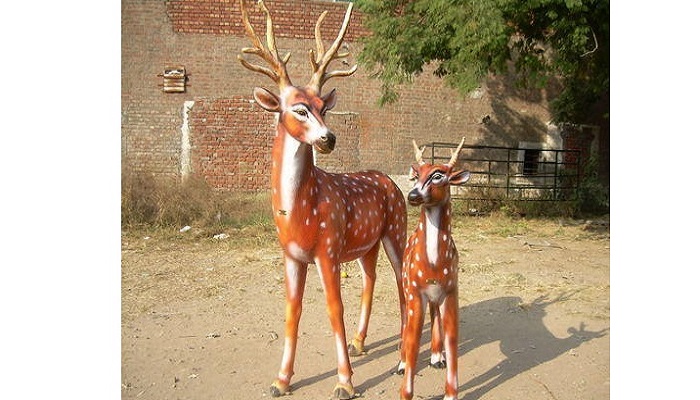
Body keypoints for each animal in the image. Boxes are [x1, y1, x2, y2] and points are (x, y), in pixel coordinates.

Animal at [236, 1, 407, 398]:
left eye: (322, 107)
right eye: (298, 109)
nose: (329, 138)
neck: (301, 212)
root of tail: (390, 180)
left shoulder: (328, 249)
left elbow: (333, 309)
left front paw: (344, 382)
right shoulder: (291, 255)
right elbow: (292, 310)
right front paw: (281, 380)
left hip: (396, 229)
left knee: (403, 284)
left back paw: (402, 356)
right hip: (365, 244)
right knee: (371, 278)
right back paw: (360, 343)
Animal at [397, 138, 470, 400]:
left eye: (438, 175)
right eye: (416, 175)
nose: (412, 195)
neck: (433, 266)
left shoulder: (451, 290)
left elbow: (452, 338)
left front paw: (451, 393)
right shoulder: (416, 291)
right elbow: (414, 340)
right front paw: (405, 391)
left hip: (436, 295)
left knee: (434, 313)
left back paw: (437, 358)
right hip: (406, 285)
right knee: (406, 323)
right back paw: (401, 363)